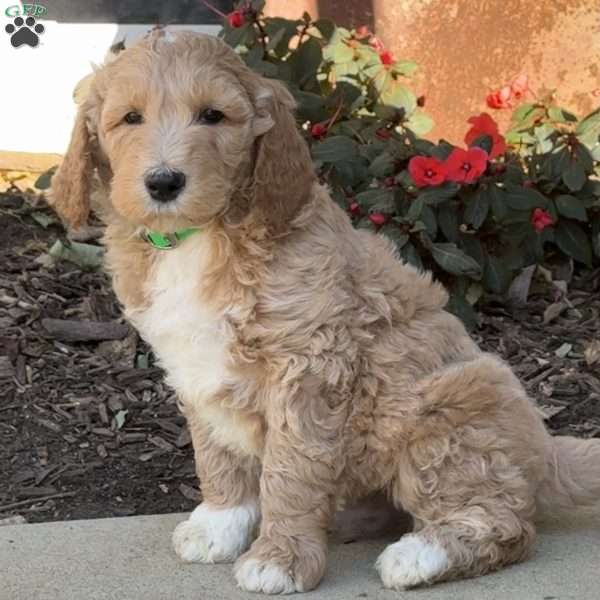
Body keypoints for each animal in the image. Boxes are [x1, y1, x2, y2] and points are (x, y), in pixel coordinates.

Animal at [48, 31, 600, 592]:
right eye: (130, 118)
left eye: (212, 116)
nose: (164, 183)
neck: (201, 236)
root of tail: (546, 451)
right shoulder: (193, 364)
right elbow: (216, 450)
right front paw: (222, 522)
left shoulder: (311, 365)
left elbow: (291, 470)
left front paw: (280, 559)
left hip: (447, 417)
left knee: (507, 522)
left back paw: (420, 555)